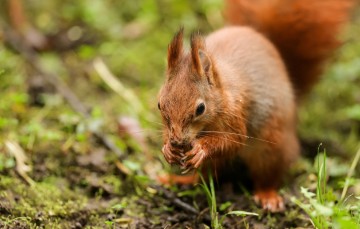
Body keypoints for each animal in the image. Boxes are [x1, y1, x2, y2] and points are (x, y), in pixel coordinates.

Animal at [157, 0, 352, 212]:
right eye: (159, 105)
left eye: (200, 109)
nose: (177, 141)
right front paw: (168, 149)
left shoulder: (236, 114)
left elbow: (233, 140)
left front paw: (201, 148)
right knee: (205, 176)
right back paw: (181, 180)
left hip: (271, 148)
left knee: (266, 176)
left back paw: (268, 196)